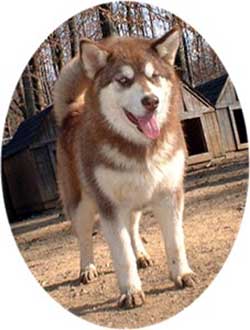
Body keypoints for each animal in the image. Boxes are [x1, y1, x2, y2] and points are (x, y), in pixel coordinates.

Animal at [53, 26, 196, 310]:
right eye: (123, 80)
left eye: (154, 76)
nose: (151, 101)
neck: (140, 148)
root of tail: (72, 112)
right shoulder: (109, 206)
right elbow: (121, 254)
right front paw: (130, 291)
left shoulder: (170, 195)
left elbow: (175, 241)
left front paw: (182, 274)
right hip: (82, 205)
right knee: (84, 237)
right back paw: (87, 268)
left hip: (133, 203)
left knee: (132, 228)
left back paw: (141, 253)